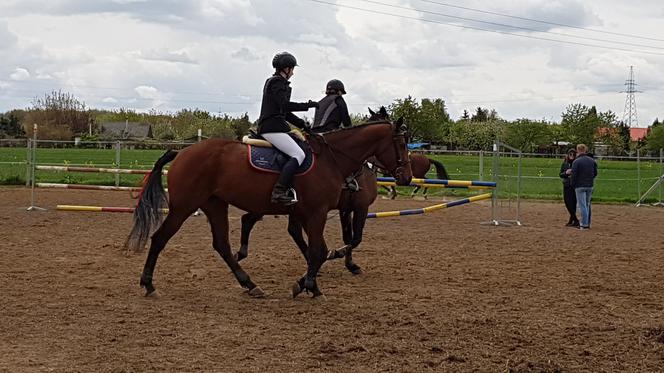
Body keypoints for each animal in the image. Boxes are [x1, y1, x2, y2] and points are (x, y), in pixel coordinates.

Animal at [124, 120, 410, 298]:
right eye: (401, 144)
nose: (406, 177)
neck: (332, 158)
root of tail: (182, 152)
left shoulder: (312, 213)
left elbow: (321, 249)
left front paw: (307, 283)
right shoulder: (320, 212)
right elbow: (322, 250)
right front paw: (310, 286)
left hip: (215, 204)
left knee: (222, 244)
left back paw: (250, 284)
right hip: (184, 206)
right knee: (160, 239)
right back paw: (148, 284)